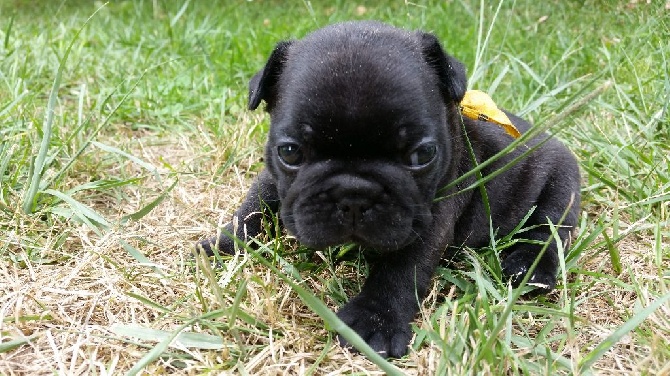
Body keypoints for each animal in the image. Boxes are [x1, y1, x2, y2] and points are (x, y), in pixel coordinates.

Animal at [197, 20, 580, 358]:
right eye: (290, 152)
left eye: (422, 154)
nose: (353, 194)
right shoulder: (272, 178)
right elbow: (253, 208)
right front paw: (223, 244)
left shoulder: (430, 218)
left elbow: (401, 269)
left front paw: (374, 321)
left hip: (562, 186)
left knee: (550, 230)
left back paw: (527, 267)